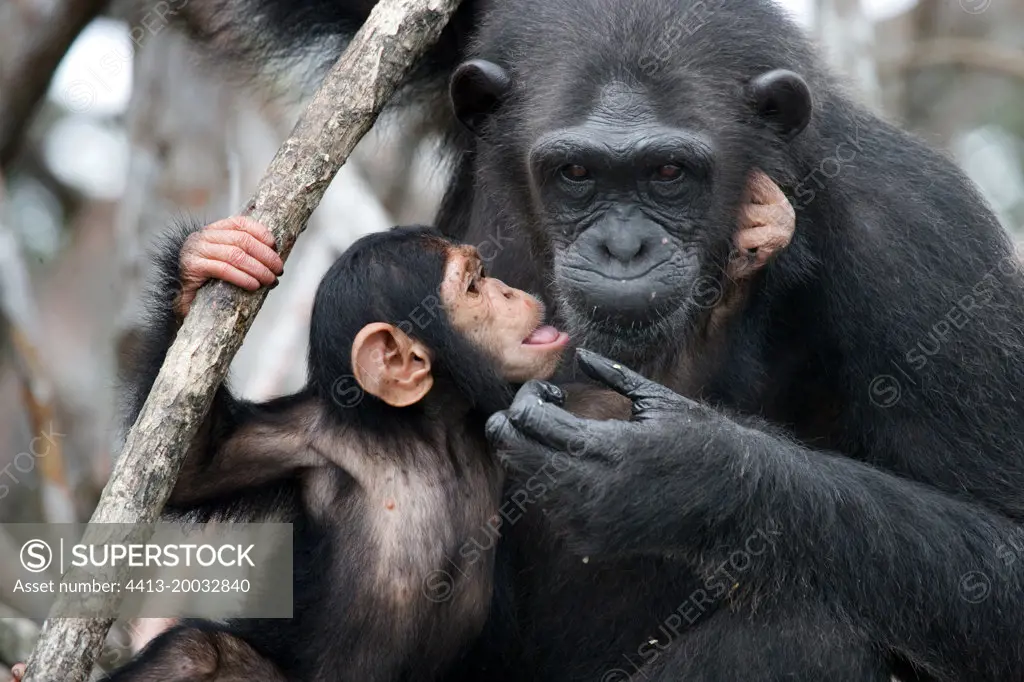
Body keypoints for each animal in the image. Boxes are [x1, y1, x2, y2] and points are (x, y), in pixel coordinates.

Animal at [105, 220, 569, 679]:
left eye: (484, 276)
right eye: (474, 285)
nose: (507, 291)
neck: (430, 431)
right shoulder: (305, 438)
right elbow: (196, 467)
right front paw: (210, 257)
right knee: (194, 652)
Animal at [172, 0, 1024, 675]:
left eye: (670, 173)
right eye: (577, 173)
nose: (622, 246)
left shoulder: (920, 239)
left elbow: (1001, 550)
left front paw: (677, 472)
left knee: (814, 630)